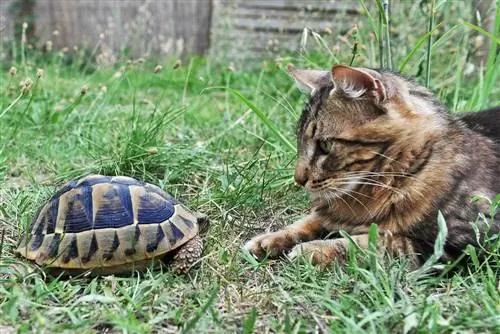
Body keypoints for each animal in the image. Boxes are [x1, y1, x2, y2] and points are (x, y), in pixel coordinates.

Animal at [242, 63, 496, 268]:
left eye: (325, 145)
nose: (299, 179)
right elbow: (307, 221)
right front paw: (269, 239)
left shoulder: (460, 242)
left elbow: (376, 242)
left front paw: (314, 249)